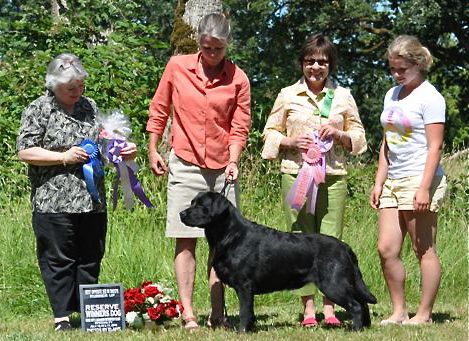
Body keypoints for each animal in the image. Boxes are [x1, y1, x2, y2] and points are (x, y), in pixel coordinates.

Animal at [179, 191, 376, 330]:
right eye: (192, 203)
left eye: (201, 205)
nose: (181, 213)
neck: (230, 234)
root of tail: (345, 247)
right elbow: (250, 312)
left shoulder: (244, 285)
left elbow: (244, 311)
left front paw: (242, 331)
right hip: (346, 282)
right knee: (363, 303)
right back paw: (365, 327)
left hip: (334, 284)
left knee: (356, 305)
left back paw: (355, 329)